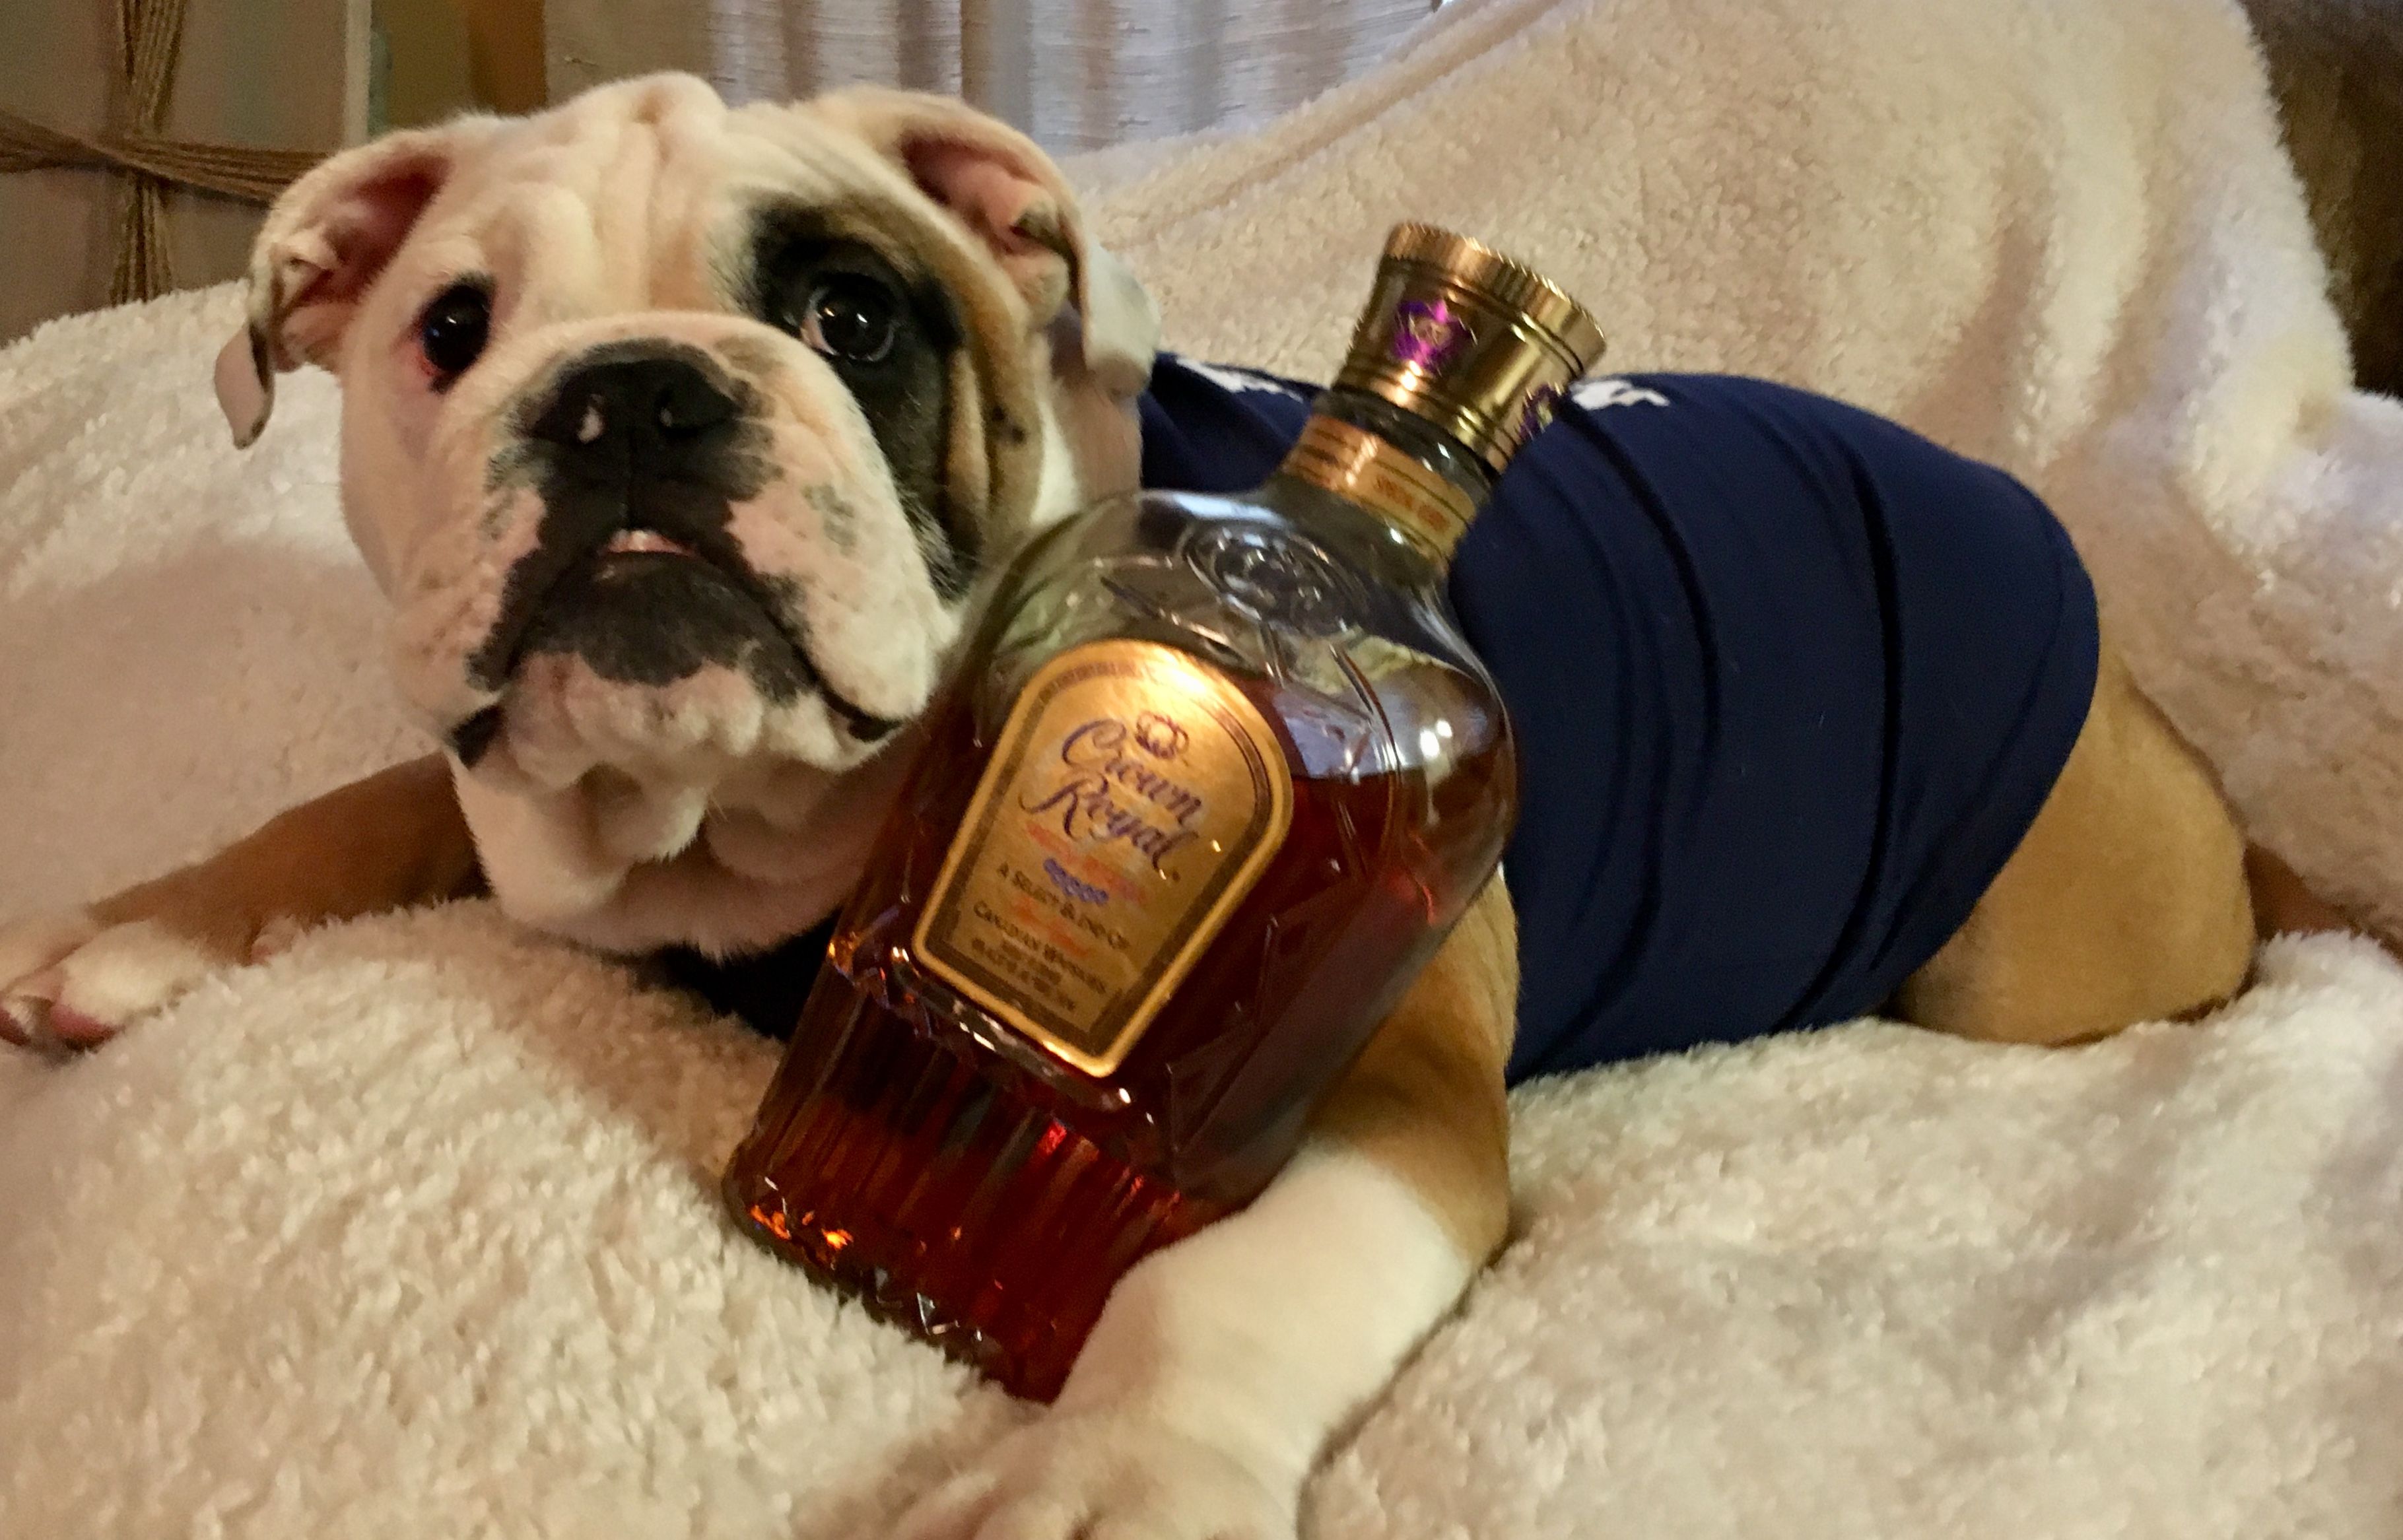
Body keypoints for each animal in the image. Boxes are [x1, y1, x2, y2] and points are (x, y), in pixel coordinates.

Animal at [0, 56, 2386, 1540]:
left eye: (853, 316)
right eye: (452, 329)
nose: (636, 399)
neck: (752, 842)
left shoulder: (1385, 1091)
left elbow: (1224, 1280)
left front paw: (1117, 1469)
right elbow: (365, 801)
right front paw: (149, 921)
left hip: (2035, 945)